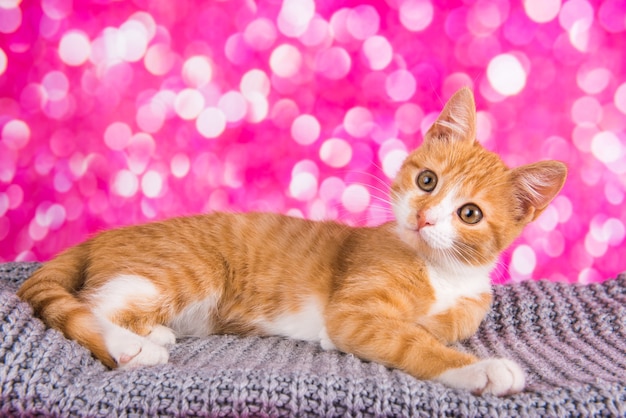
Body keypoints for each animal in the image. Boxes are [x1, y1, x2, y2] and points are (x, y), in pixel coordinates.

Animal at [18, 88, 564, 396]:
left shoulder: (468, 303)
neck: (440, 271)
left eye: (469, 214)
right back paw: (132, 347)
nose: (424, 217)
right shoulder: (353, 315)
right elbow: (414, 342)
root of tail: (104, 234)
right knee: (90, 306)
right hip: (187, 268)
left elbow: (439, 326)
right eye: (427, 181)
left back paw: (153, 334)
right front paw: (484, 370)